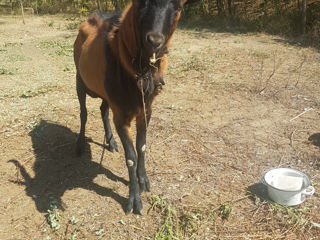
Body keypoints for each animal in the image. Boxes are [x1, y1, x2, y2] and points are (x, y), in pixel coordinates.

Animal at [74, 0, 194, 214]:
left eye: (179, 7)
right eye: (142, 3)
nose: (155, 40)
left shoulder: (145, 110)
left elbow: (142, 146)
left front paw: (144, 181)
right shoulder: (121, 115)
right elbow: (131, 156)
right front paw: (134, 200)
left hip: (106, 94)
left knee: (103, 110)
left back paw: (111, 143)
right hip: (79, 79)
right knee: (84, 113)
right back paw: (80, 145)